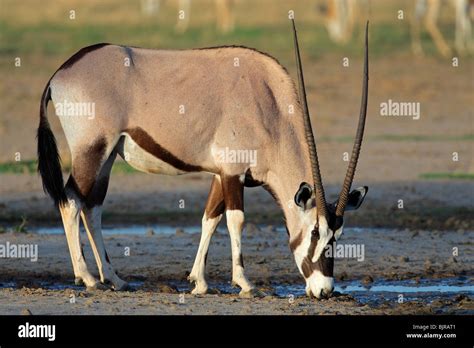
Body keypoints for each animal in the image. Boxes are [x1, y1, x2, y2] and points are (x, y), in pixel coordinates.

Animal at [37, 19, 370, 300]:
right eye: (315, 232)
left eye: (338, 236)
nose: (324, 290)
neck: (269, 105)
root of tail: (60, 73)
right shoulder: (234, 172)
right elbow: (236, 220)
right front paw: (245, 284)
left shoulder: (220, 174)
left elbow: (210, 218)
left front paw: (199, 281)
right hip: (91, 151)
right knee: (71, 202)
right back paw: (88, 277)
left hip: (105, 157)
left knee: (92, 207)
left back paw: (114, 278)